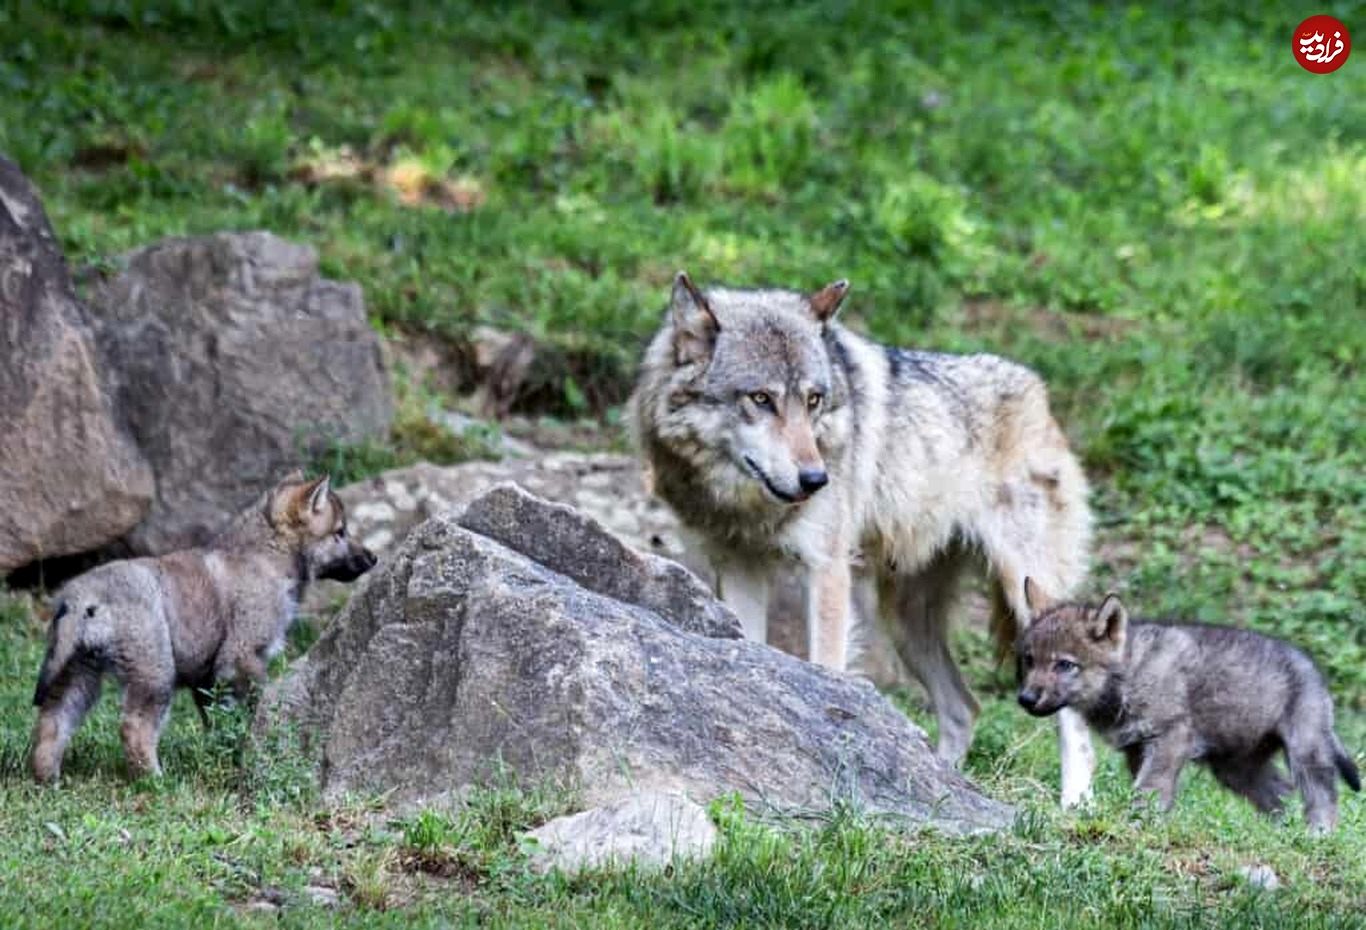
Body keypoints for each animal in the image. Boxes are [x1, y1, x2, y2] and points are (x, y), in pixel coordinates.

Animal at [32, 472, 374, 781]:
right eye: (340, 532)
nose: (374, 559)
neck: (267, 557)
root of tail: (83, 595)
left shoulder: (207, 677)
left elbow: (218, 721)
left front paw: (225, 753)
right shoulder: (243, 657)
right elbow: (255, 707)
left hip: (77, 673)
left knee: (51, 721)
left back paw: (47, 778)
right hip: (154, 672)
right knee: (135, 727)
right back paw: (154, 780)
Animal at [633, 271, 1092, 802]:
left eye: (813, 399)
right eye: (761, 398)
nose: (816, 479)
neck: (746, 502)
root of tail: (1039, 393)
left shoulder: (827, 569)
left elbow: (827, 668)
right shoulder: (740, 565)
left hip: (1026, 593)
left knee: (1074, 717)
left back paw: (1074, 805)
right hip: (904, 621)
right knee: (964, 708)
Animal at [1016, 579, 1355, 835]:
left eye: (1064, 665)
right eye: (1029, 660)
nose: (1025, 699)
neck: (1131, 675)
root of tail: (1314, 671)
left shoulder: (1170, 738)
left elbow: (1150, 788)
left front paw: (1139, 824)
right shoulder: (1137, 749)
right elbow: (1150, 789)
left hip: (1305, 752)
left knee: (1323, 794)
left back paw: (1318, 835)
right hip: (1236, 770)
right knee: (1280, 796)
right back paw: (1280, 835)